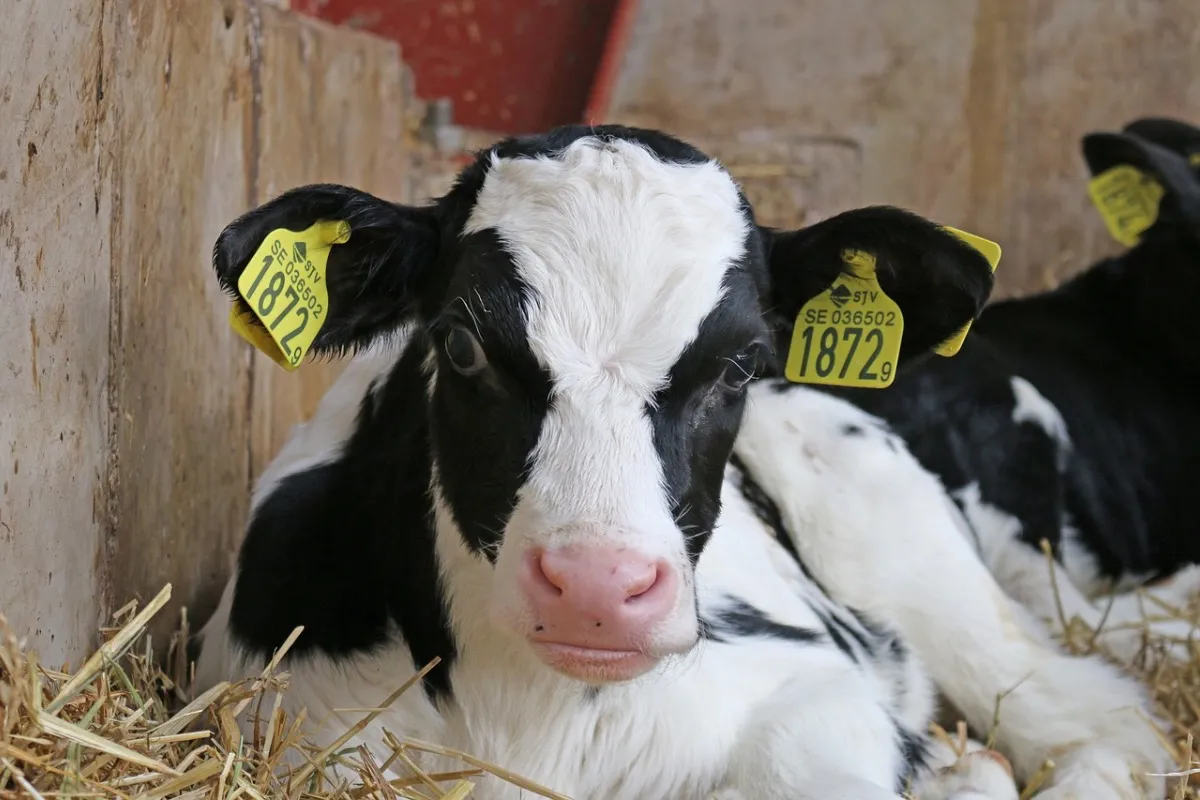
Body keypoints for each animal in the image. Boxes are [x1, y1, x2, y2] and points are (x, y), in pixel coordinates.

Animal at [192, 125, 1167, 799]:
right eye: (461, 345)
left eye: (739, 363)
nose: (596, 586)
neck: (536, 718)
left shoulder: (817, 689)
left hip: (919, 567)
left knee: (1103, 719)